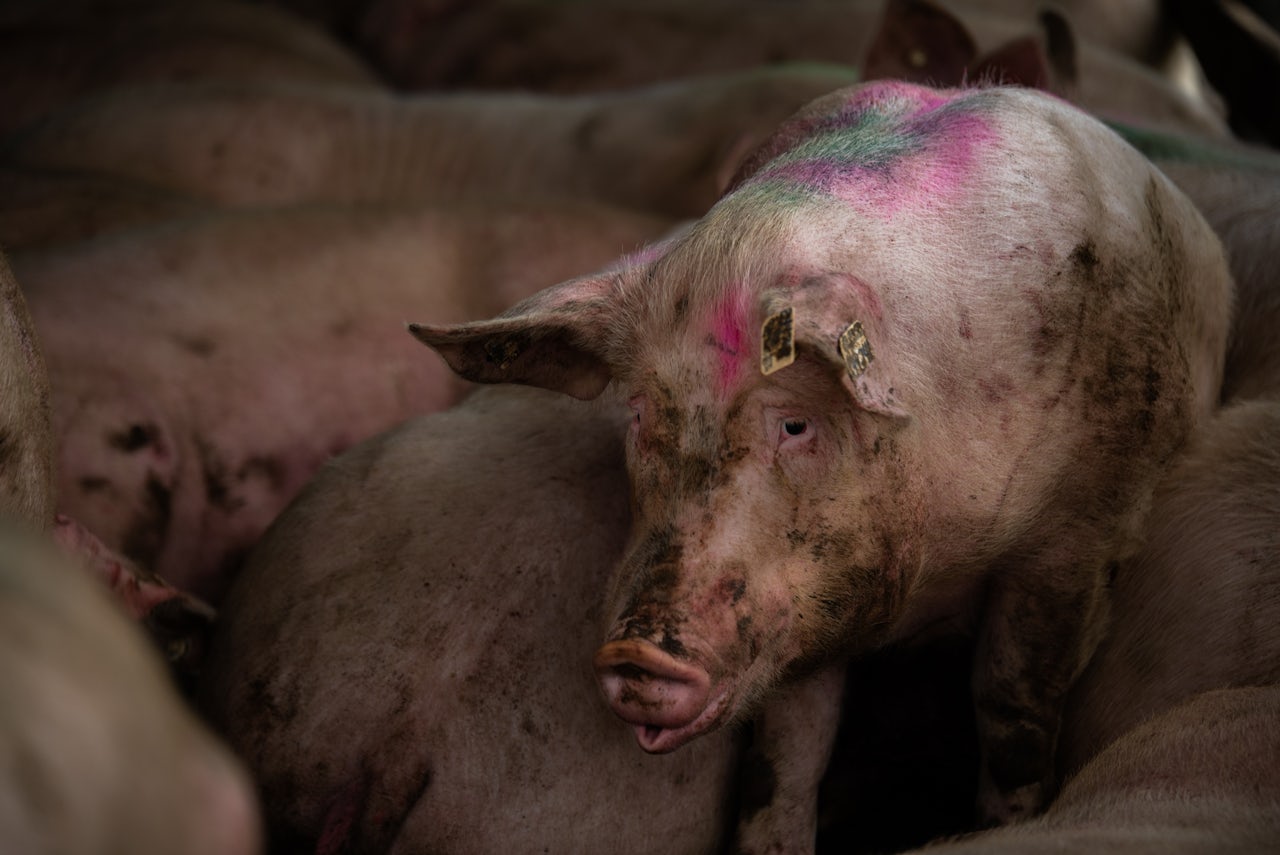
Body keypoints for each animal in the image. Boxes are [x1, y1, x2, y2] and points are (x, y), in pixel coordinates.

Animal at [410, 81, 1232, 846]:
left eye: (796, 422)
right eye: (641, 414)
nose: (635, 650)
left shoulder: (1080, 535)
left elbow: (1013, 708)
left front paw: (1004, 824)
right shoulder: (809, 601)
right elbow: (788, 752)